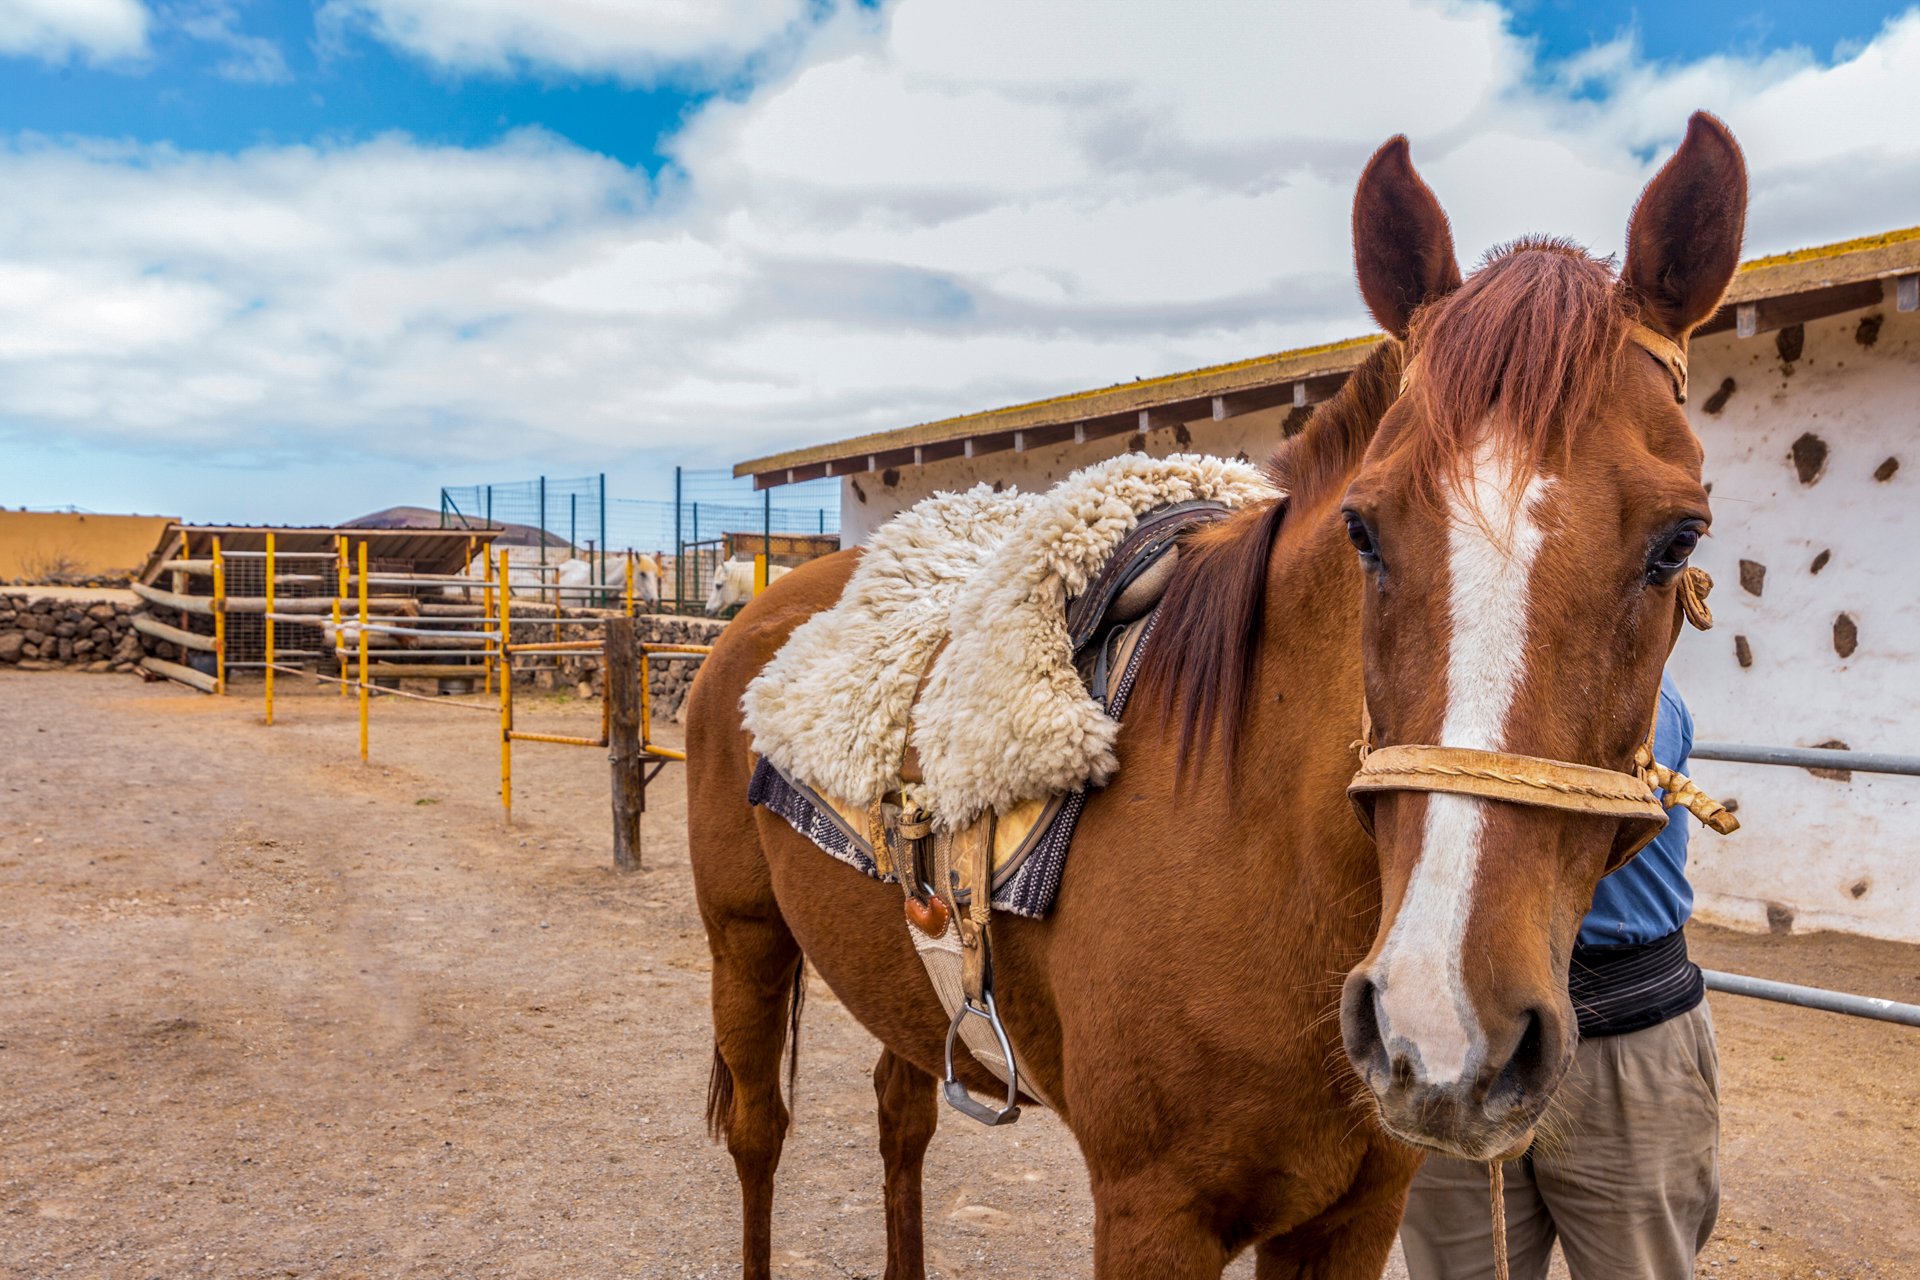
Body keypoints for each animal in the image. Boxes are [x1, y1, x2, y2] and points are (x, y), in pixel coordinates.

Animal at [685, 112, 1746, 1279]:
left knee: (899, 1112)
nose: (1443, 1028)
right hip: (742, 938)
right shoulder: (1153, 1213)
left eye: (1680, 538)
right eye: (1364, 528)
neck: (1264, 845)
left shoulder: (1355, 1212)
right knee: (758, 1133)